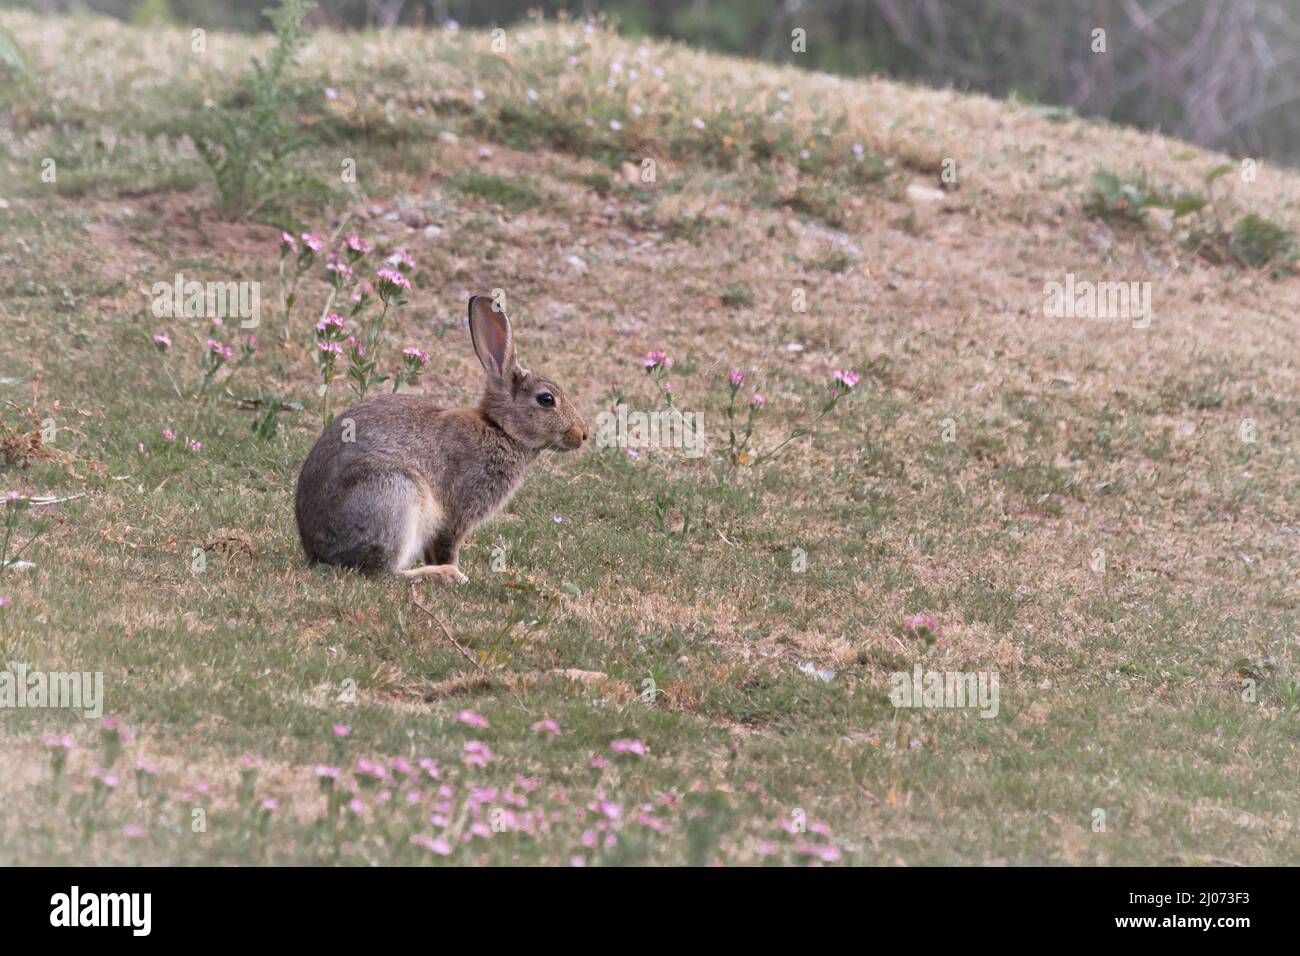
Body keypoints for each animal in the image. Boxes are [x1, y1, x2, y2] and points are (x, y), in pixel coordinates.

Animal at [294, 294, 587, 583]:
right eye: (546, 399)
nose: (583, 434)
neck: (500, 428)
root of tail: (319, 552)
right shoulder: (457, 513)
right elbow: (447, 546)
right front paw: (458, 572)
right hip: (397, 496)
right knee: (383, 571)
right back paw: (443, 574)